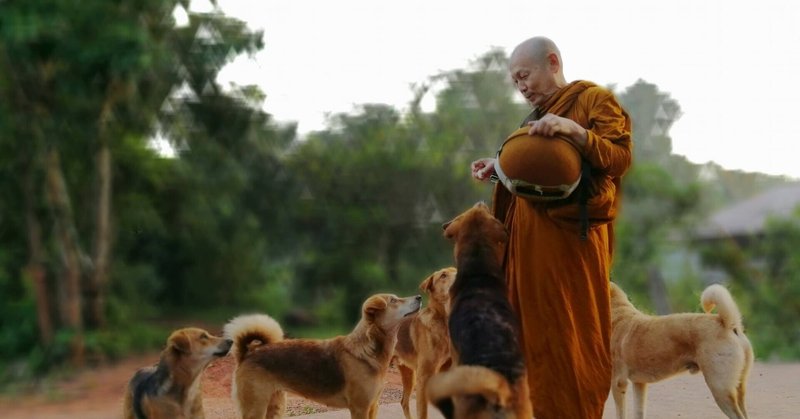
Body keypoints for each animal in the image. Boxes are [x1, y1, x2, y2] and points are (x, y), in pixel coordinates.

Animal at [223, 294, 422, 419]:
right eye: (393, 300)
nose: (419, 297)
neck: (367, 350)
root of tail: (247, 353)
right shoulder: (360, 408)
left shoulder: (372, 406)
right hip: (255, 407)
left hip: (274, 405)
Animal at [392, 268, 456, 419]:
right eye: (443, 275)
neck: (443, 323)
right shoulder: (424, 377)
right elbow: (422, 413)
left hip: (408, 374)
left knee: (404, 401)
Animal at [608, 282, 752, 419]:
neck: (619, 314)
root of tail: (727, 324)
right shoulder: (639, 384)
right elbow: (639, 412)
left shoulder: (618, 383)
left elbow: (621, 414)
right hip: (738, 390)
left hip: (720, 389)